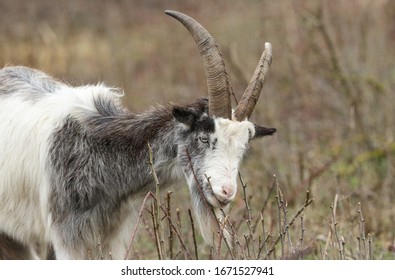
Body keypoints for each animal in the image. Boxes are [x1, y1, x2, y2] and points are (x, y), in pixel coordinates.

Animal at [0, 11, 276, 260]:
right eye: (204, 138)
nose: (226, 193)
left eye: (243, 149)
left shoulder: (112, 236)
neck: (100, 146)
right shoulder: (69, 238)